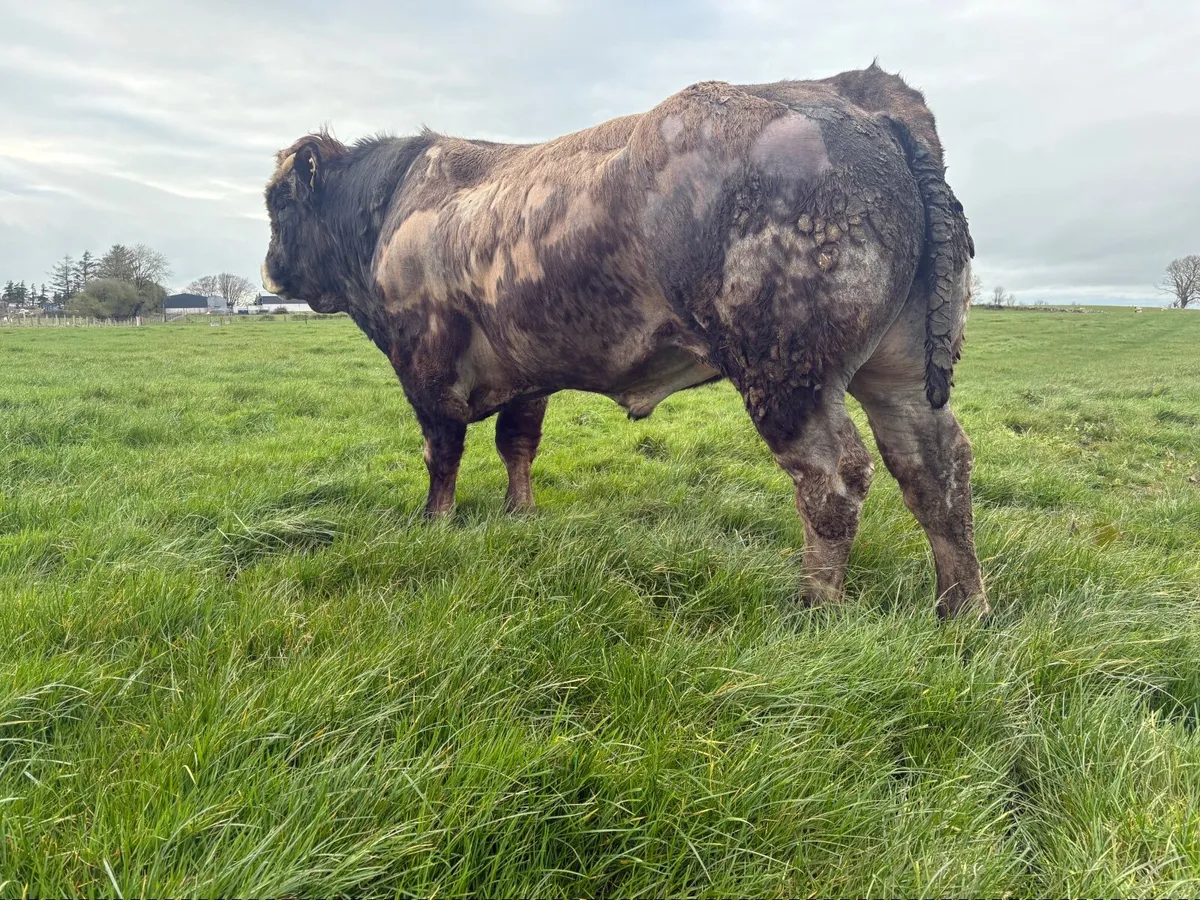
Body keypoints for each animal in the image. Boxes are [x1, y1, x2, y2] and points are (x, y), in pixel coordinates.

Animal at [261, 63, 987, 618]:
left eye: (278, 203)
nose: (270, 270)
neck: (394, 208)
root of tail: (861, 100)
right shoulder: (527, 371)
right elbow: (516, 444)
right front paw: (519, 514)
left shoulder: (426, 363)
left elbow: (442, 452)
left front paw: (435, 522)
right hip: (897, 373)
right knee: (935, 468)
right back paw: (961, 610)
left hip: (785, 374)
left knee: (834, 479)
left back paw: (815, 609)